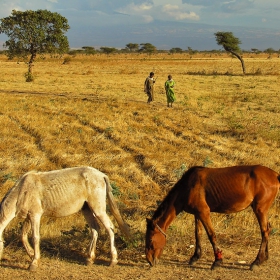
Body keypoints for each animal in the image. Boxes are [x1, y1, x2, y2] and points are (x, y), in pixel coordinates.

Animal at [0, 167, 130, 270]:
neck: (23, 191)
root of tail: (102, 175)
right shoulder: (29, 217)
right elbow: (23, 236)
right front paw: (32, 254)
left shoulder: (35, 215)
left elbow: (35, 237)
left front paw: (34, 263)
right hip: (87, 209)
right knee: (95, 229)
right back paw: (89, 259)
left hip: (98, 210)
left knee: (110, 228)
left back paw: (113, 260)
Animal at [145, 165, 278, 270]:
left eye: (150, 240)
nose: (149, 261)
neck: (188, 187)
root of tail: (275, 174)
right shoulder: (197, 213)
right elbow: (198, 234)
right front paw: (195, 257)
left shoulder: (204, 212)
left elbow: (211, 235)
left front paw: (217, 261)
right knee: (268, 229)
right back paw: (265, 257)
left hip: (260, 209)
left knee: (265, 231)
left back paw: (257, 261)